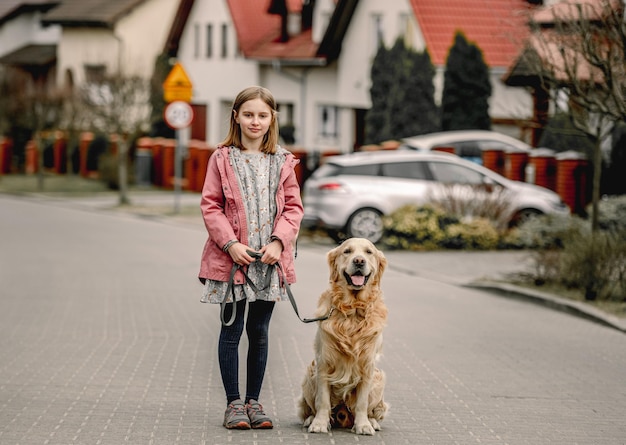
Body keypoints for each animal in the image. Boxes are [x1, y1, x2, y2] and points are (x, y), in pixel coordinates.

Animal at [298, 236, 386, 434]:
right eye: (347, 251)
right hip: (309, 374)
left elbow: (361, 403)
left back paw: (372, 422)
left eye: (368, 252)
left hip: (378, 379)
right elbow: (323, 400)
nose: (359, 261)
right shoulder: (324, 362)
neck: (353, 311)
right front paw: (319, 423)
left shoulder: (367, 366)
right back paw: (310, 418)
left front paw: (363, 425)